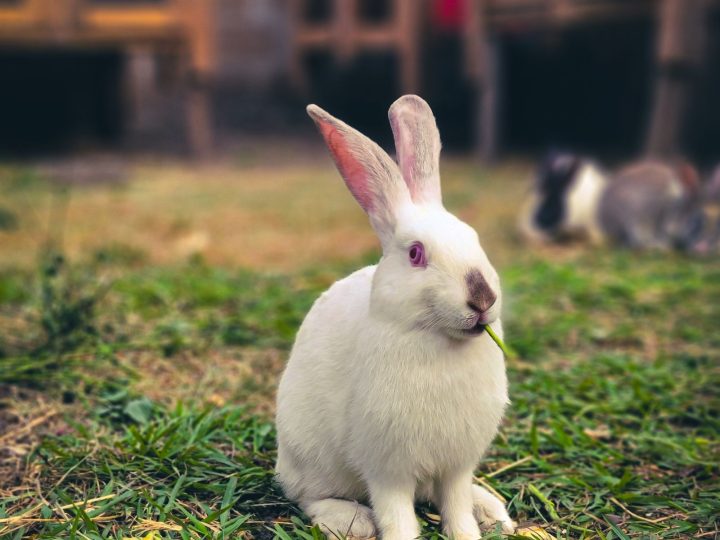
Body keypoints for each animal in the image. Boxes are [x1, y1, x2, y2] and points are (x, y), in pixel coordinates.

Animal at [275, 95, 515, 540]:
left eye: (473, 238)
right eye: (416, 254)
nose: (483, 298)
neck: (438, 339)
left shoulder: (456, 465)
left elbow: (455, 504)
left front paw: (467, 530)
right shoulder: (388, 469)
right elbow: (396, 513)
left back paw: (490, 510)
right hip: (312, 458)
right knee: (307, 496)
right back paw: (350, 520)